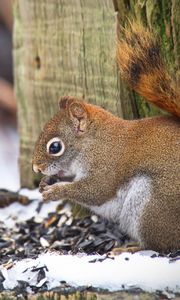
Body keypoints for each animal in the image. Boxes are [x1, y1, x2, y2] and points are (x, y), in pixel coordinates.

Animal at [32, 21, 180, 253]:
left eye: (55, 147)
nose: (36, 168)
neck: (95, 142)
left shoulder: (108, 164)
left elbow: (95, 190)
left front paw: (55, 191)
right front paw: (47, 181)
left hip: (153, 206)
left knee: (163, 245)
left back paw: (132, 248)